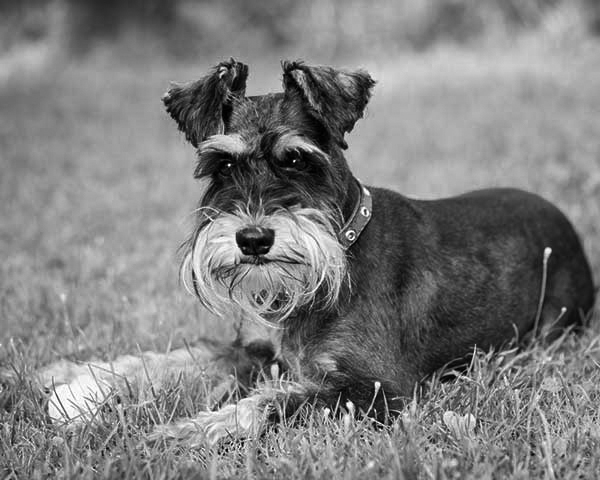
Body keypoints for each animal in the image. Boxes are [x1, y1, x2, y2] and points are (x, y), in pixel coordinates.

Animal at [43, 60, 596, 446]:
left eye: (296, 160)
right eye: (223, 165)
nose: (253, 240)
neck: (341, 252)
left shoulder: (376, 390)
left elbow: (267, 404)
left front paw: (182, 431)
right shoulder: (260, 350)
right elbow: (185, 355)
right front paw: (77, 381)